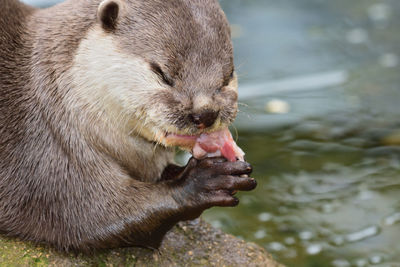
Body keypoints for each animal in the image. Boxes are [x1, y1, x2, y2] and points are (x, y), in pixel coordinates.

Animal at [0, 0, 256, 252]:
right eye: (163, 74)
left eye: (228, 76)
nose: (206, 113)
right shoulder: (48, 164)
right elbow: (94, 216)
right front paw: (204, 181)